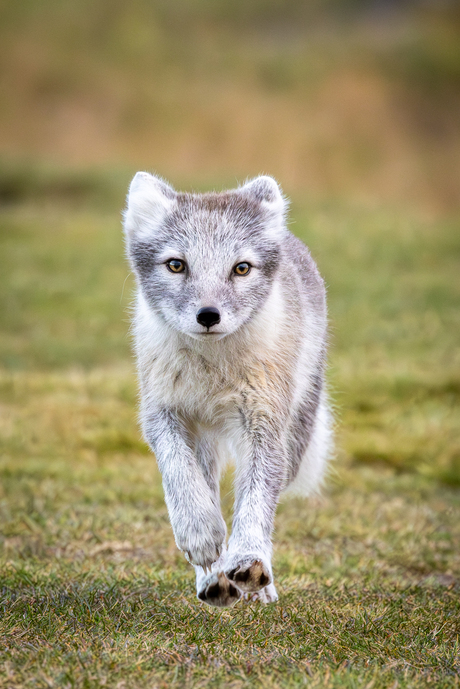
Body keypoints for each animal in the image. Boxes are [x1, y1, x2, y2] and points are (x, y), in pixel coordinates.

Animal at [123, 172, 332, 607]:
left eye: (241, 268)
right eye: (176, 264)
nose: (208, 315)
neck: (212, 370)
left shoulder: (263, 421)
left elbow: (255, 499)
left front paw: (251, 562)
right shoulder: (161, 413)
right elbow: (182, 480)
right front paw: (200, 537)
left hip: (296, 435)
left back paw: (255, 582)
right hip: (204, 438)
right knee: (208, 485)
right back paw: (214, 577)